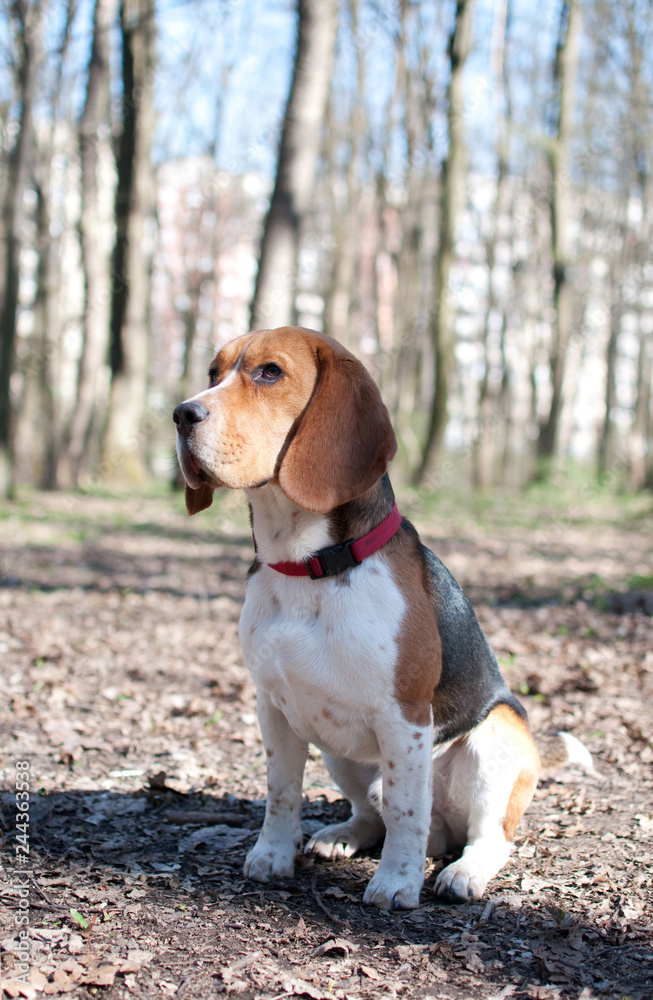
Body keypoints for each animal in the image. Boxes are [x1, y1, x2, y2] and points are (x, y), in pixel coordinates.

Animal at [173, 326, 592, 908]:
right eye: (213, 373)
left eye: (269, 373)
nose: (180, 413)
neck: (309, 568)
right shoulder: (273, 708)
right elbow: (282, 793)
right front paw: (273, 856)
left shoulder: (406, 716)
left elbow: (405, 807)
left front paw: (396, 882)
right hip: (339, 752)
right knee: (371, 810)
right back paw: (343, 835)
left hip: (496, 740)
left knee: (486, 837)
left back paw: (463, 871)